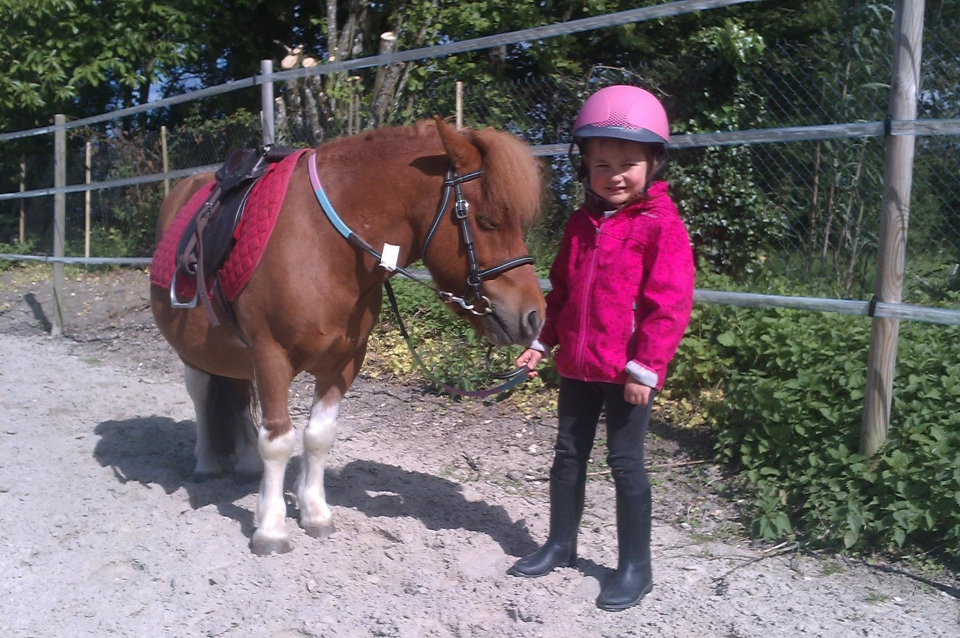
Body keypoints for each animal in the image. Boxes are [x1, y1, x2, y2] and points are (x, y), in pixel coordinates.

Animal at [150, 116, 546, 555]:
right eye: (489, 220)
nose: (534, 316)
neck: (322, 244)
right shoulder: (271, 356)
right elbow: (279, 440)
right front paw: (271, 527)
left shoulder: (344, 361)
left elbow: (318, 436)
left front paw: (314, 513)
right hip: (196, 351)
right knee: (201, 394)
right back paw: (206, 462)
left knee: (236, 394)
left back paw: (247, 465)